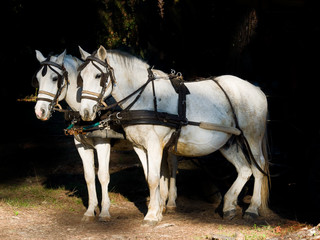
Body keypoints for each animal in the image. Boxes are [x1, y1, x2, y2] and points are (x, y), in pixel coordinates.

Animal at [32, 49, 117, 222]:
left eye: (55, 78)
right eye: (37, 79)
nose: (39, 111)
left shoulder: (103, 144)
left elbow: (103, 175)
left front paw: (105, 211)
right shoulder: (82, 146)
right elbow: (89, 176)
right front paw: (90, 210)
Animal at [78, 45, 270, 223]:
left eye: (98, 76)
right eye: (81, 77)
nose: (85, 112)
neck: (145, 98)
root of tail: (256, 89)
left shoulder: (154, 144)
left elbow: (154, 178)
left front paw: (151, 215)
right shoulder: (139, 146)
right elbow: (149, 177)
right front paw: (156, 210)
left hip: (252, 137)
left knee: (258, 167)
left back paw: (252, 209)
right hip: (228, 142)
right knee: (244, 169)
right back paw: (229, 205)